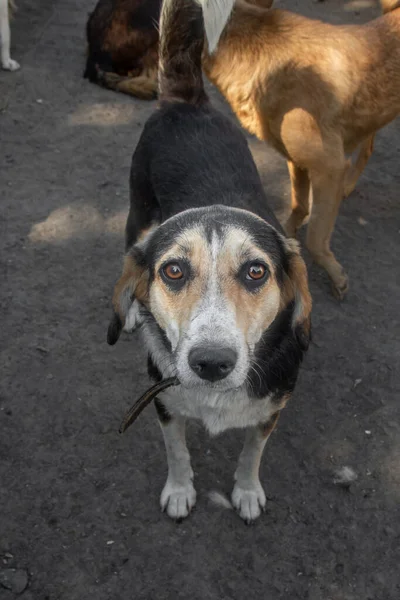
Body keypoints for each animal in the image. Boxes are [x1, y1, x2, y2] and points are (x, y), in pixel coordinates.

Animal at [107, 0, 312, 524]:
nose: (211, 363)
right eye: (173, 271)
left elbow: (251, 453)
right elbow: (177, 452)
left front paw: (247, 491)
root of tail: (186, 101)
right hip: (136, 215)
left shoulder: (270, 412)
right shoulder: (164, 404)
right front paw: (180, 491)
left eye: (256, 271)